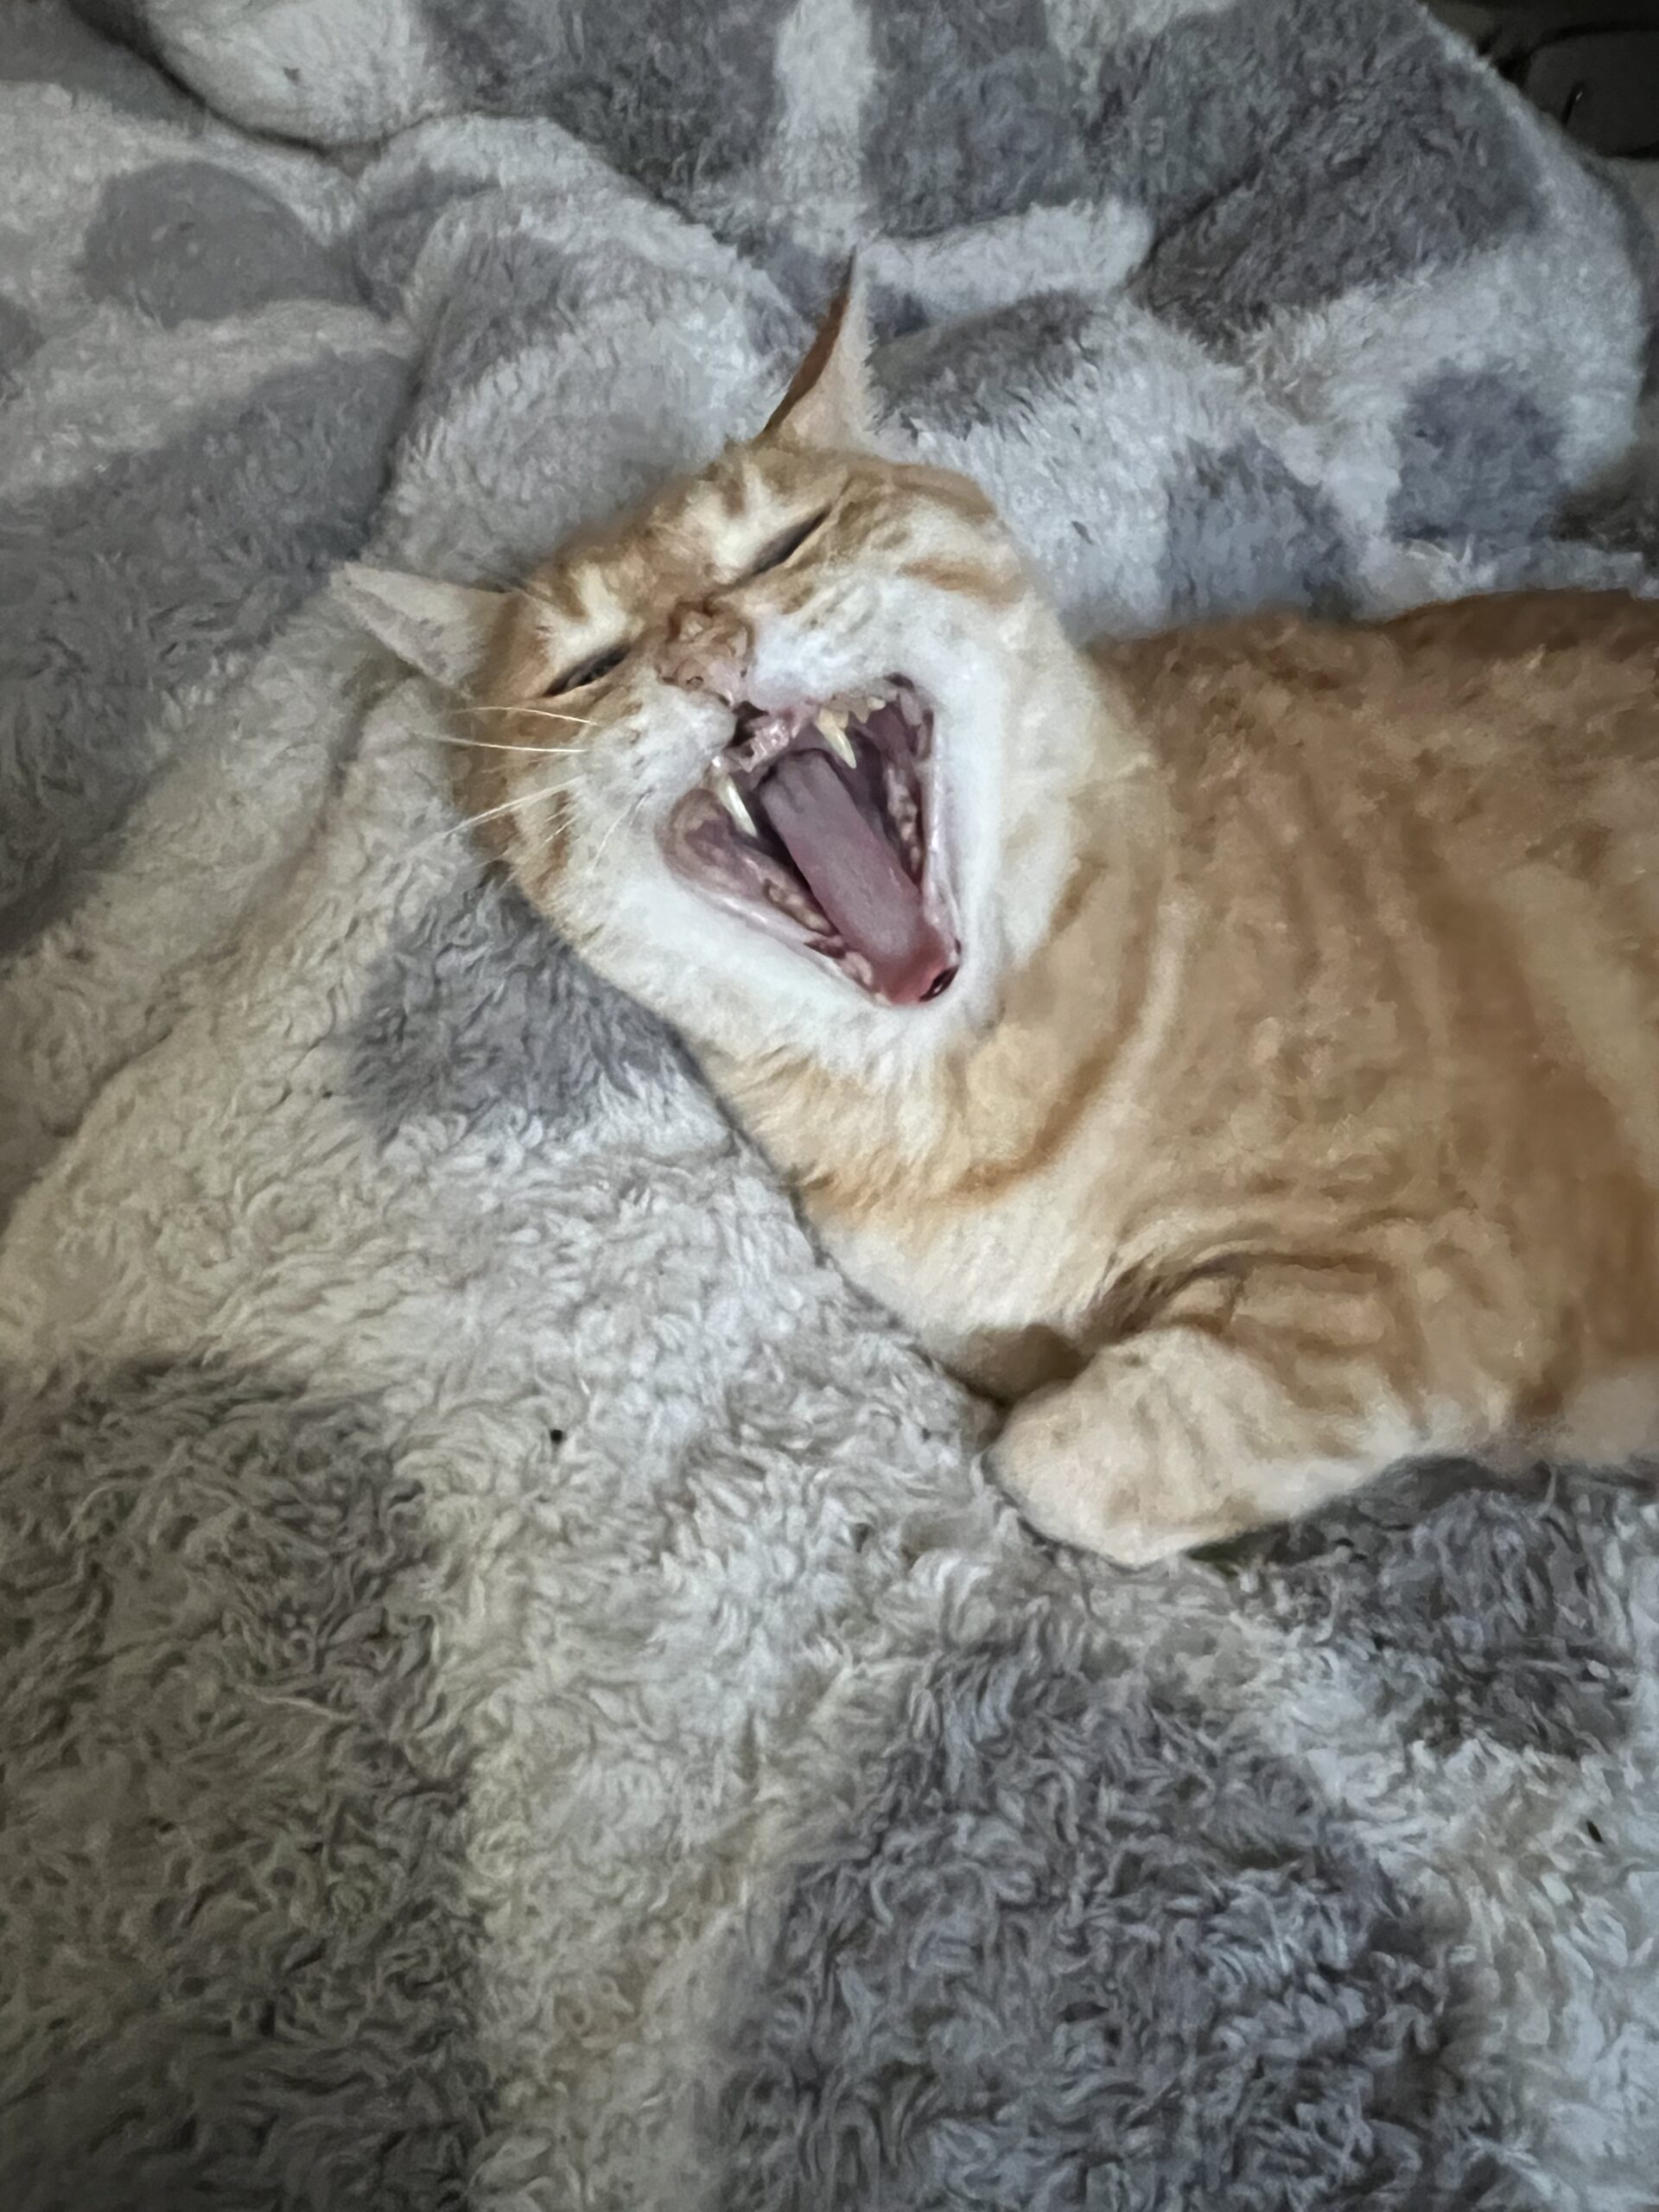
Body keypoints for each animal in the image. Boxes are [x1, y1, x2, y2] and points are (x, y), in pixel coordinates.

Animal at [340, 278, 1659, 1566]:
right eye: (589, 669)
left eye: (785, 543)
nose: (702, 652)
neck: (956, 1103)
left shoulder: (1435, 1274)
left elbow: (1061, 1458)